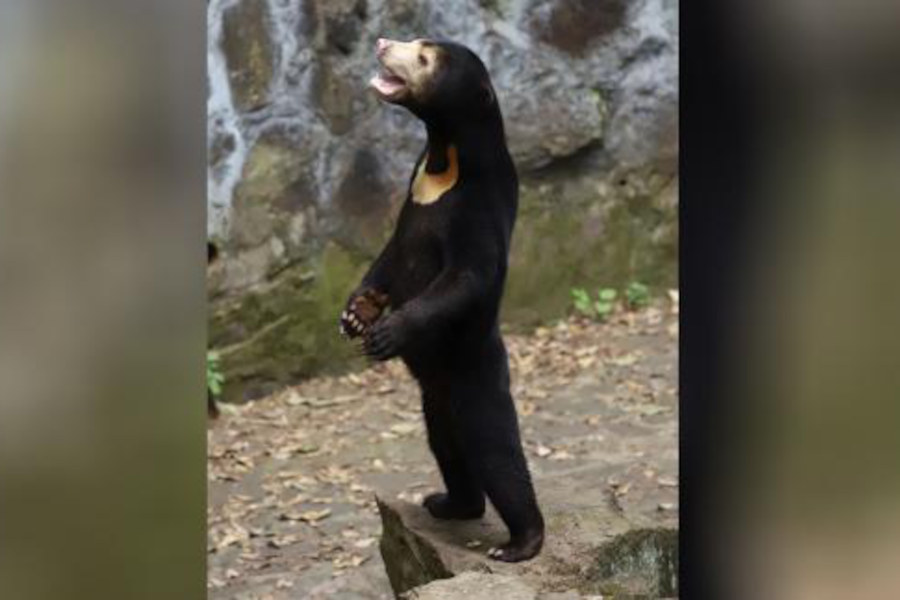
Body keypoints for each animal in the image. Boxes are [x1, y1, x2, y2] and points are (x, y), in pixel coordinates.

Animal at [339, 37, 545, 562]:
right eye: (417, 41)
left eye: (424, 58)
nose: (381, 42)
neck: (443, 157)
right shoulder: (412, 196)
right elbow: (390, 255)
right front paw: (355, 314)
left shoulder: (478, 205)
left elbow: (466, 277)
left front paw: (387, 333)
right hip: (435, 404)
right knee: (448, 450)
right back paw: (448, 503)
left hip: (474, 378)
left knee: (497, 454)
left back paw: (521, 543)